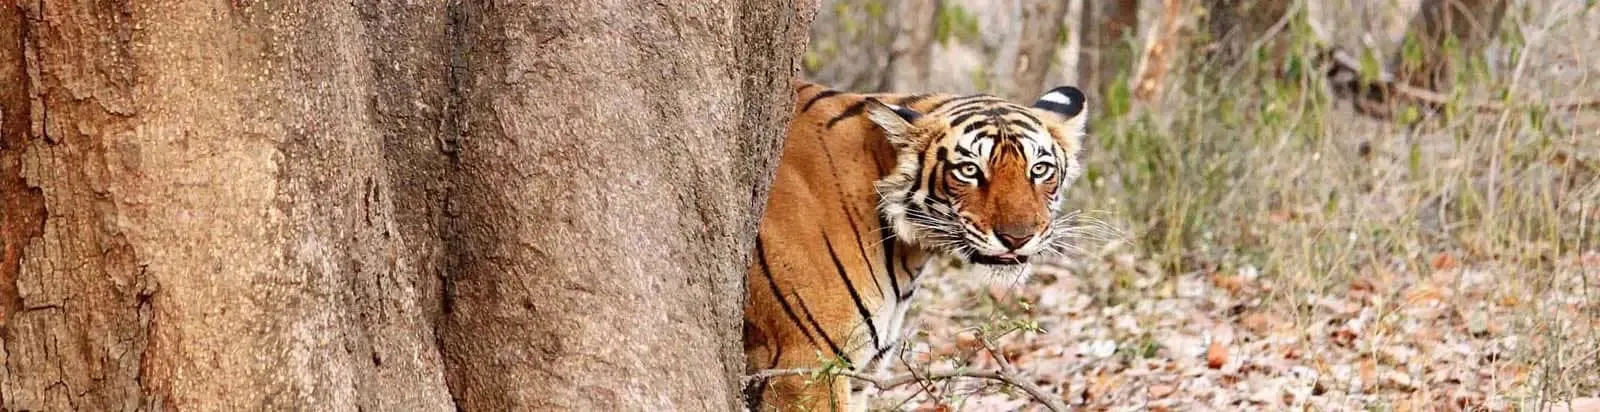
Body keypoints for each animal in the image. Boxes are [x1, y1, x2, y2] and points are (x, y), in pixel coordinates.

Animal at [743, 80, 1089, 411]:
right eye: (969, 170)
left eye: (1039, 169)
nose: (1017, 238)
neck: (908, 249)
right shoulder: (805, 369)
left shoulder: (861, 373)